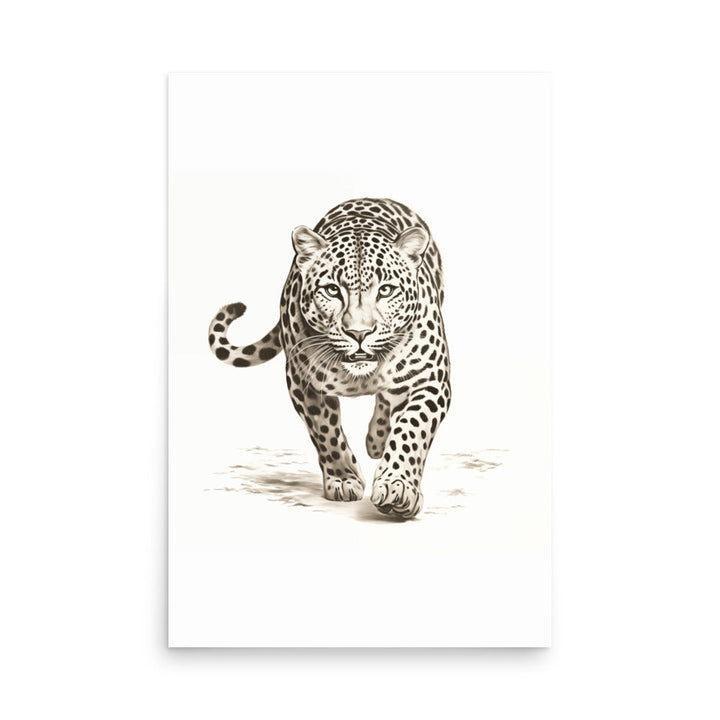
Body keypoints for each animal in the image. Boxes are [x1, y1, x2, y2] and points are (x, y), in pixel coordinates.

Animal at [208, 198, 451, 519]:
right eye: (332, 290)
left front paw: (397, 487)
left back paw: (377, 440)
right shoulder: (303, 382)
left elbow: (411, 429)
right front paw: (344, 480)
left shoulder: (430, 378)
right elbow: (325, 431)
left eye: (386, 290)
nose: (359, 333)